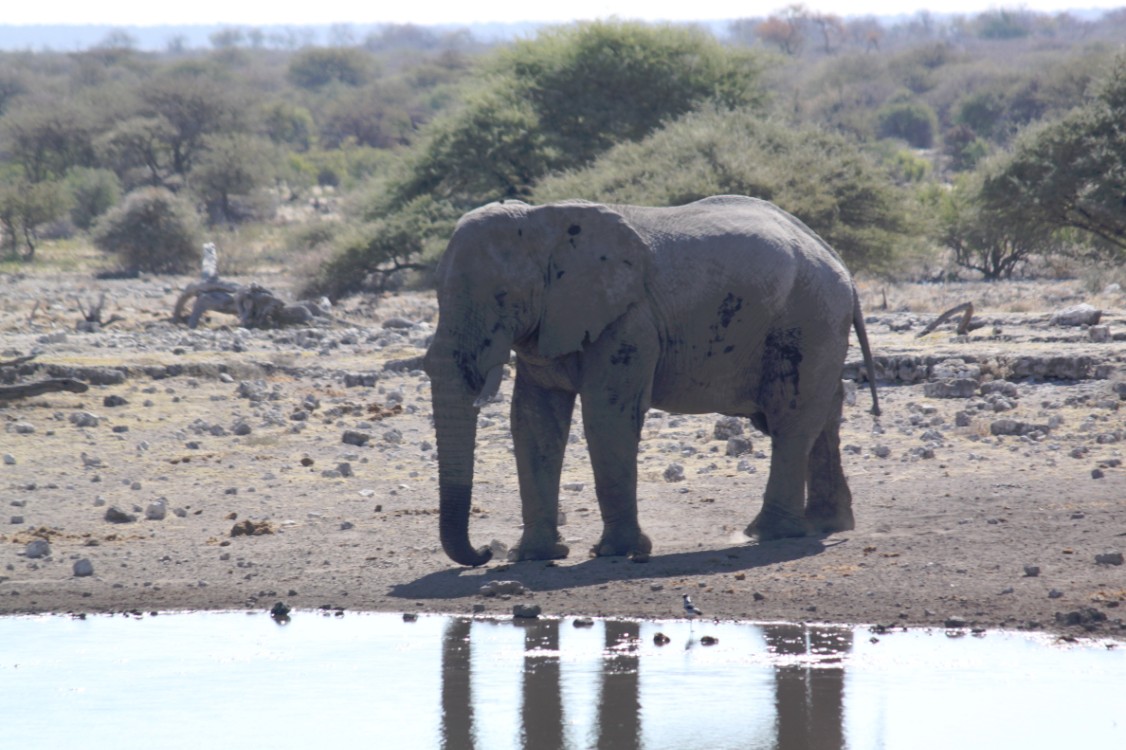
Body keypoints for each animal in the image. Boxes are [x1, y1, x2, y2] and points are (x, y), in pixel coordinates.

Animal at [423, 195, 878, 563]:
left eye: (502, 296)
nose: (485, 551)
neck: (541, 220)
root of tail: (839, 263)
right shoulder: (549, 325)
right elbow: (535, 422)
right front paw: (534, 556)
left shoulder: (630, 320)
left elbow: (607, 415)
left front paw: (618, 552)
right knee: (822, 416)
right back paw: (825, 525)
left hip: (809, 318)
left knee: (790, 419)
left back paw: (766, 534)